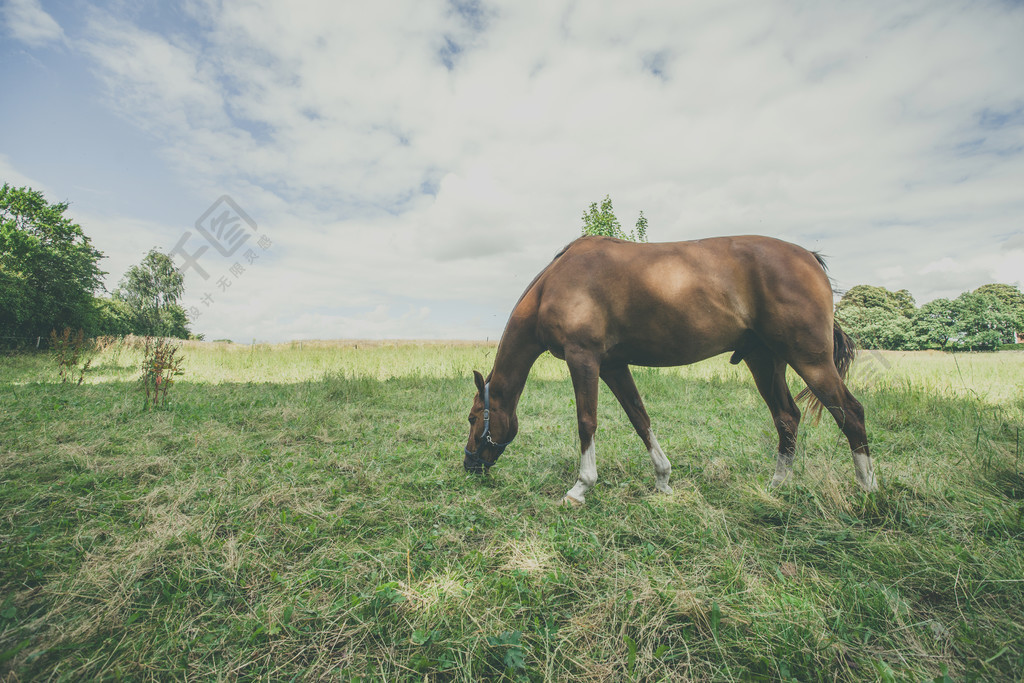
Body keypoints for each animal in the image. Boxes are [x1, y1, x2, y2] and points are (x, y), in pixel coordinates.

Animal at [466, 237, 880, 505]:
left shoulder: (583, 359)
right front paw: (663, 479)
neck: (554, 283)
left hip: (810, 360)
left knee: (851, 413)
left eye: (473, 417)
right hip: (765, 360)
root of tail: (809, 257)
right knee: (787, 417)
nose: (469, 463)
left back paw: (869, 489)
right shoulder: (613, 366)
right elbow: (640, 418)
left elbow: (587, 422)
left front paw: (581, 487)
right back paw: (777, 484)